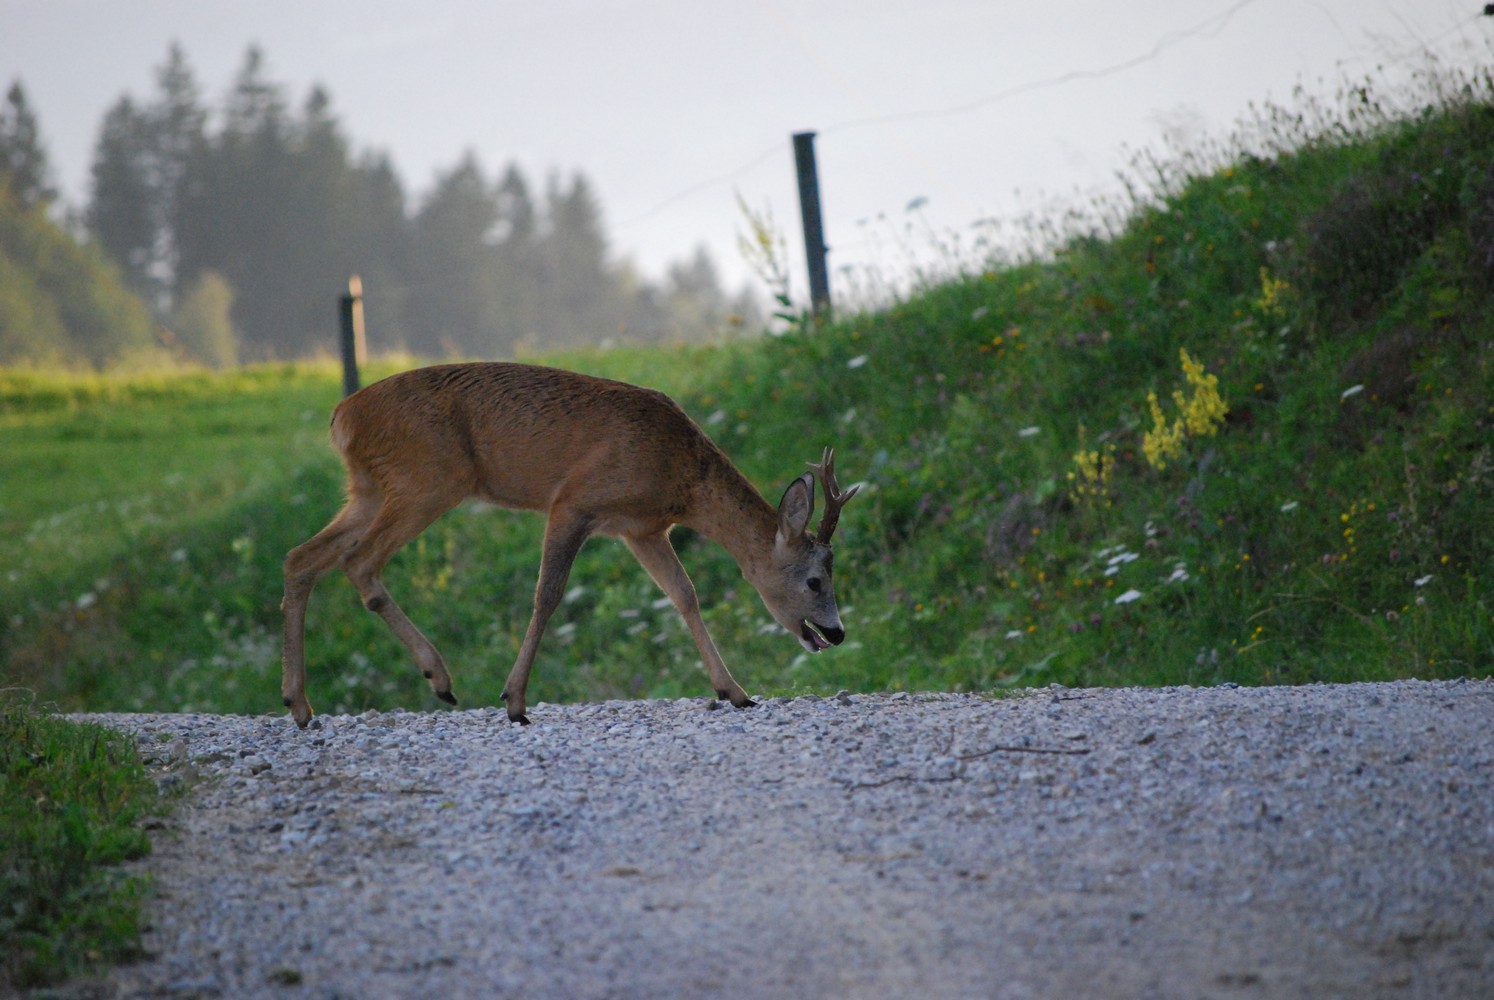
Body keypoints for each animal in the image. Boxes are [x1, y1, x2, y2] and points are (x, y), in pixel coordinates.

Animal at [280, 361, 858, 727]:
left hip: (371, 489)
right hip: (428, 480)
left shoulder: (642, 529)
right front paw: (514, 701)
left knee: (301, 557)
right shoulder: (575, 500)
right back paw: (438, 678)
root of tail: (342, 416)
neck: (682, 475)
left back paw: (301, 705)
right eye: (814, 579)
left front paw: (734, 692)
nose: (836, 632)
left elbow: (685, 595)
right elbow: (548, 595)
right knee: (359, 561)